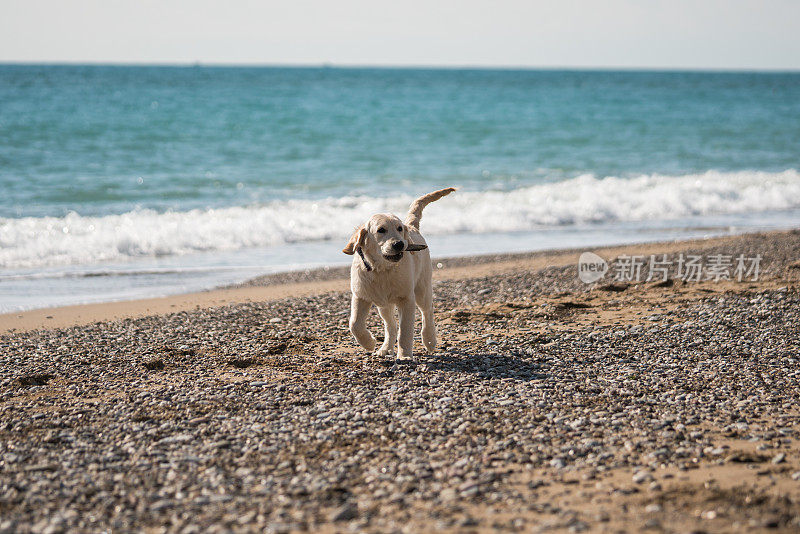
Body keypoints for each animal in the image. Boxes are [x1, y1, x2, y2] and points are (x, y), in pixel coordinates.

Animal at [344, 187, 456, 360]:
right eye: (381, 230)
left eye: (399, 229)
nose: (399, 244)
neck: (382, 269)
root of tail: (412, 226)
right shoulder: (361, 296)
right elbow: (355, 324)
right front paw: (369, 343)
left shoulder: (406, 299)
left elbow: (405, 331)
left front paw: (404, 356)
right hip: (383, 305)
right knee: (390, 325)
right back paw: (385, 348)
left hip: (422, 289)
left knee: (427, 311)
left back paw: (429, 340)